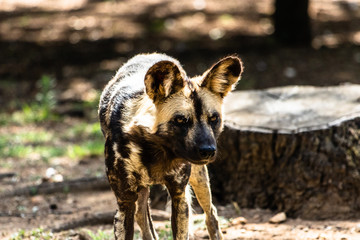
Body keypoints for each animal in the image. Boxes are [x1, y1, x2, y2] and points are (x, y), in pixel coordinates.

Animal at [99, 53, 242, 239]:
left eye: (213, 119)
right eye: (181, 120)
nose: (208, 151)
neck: (156, 150)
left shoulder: (178, 196)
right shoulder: (125, 203)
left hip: (199, 178)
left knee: (211, 213)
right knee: (142, 215)